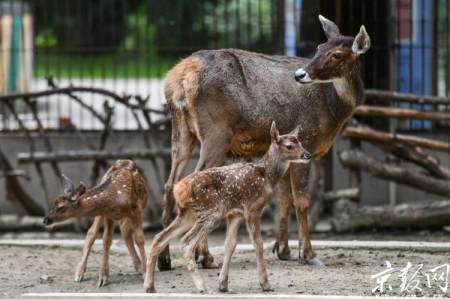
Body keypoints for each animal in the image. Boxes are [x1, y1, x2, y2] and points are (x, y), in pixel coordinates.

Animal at [143, 122, 310, 296]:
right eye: (289, 146)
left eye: (301, 142)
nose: (308, 155)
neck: (267, 177)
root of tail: (179, 189)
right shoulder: (252, 208)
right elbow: (258, 244)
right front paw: (265, 284)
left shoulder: (235, 214)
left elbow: (230, 245)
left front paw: (223, 284)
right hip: (211, 211)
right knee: (187, 242)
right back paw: (202, 287)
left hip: (188, 214)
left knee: (159, 238)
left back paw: (150, 286)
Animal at [160, 14, 370, 272]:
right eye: (319, 48)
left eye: (337, 54)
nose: (300, 75)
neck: (333, 109)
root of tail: (180, 78)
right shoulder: (306, 141)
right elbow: (301, 200)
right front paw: (308, 254)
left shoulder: (286, 151)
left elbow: (283, 199)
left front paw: (283, 250)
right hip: (216, 131)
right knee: (196, 179)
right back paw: (204, 256)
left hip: (181, 130)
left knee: (170, 184)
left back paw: (165, 259)